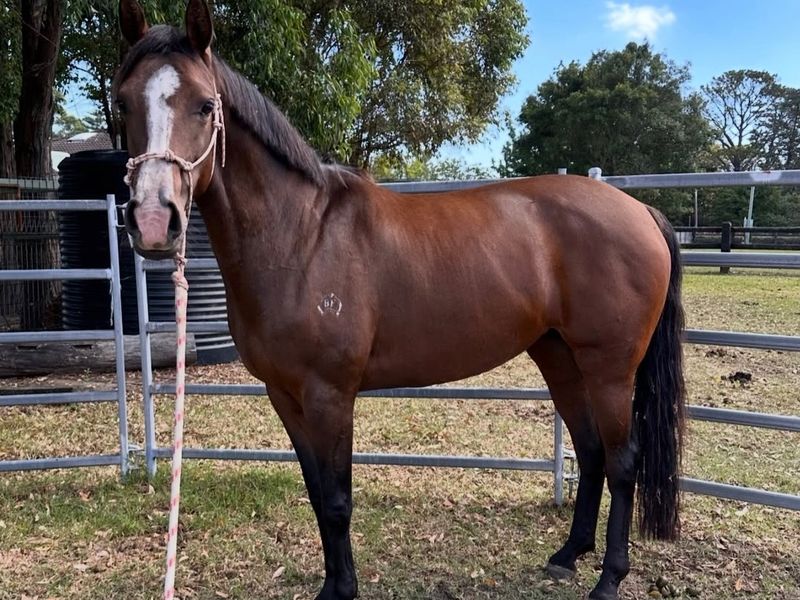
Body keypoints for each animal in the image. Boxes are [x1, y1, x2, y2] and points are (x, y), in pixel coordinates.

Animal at [115, 1, 685, 598]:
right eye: (121, 102)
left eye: (205, 106)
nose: (152, 220)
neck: (300, 236)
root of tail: (640, 210)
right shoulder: (284, 395)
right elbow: (317, 495)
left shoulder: (330, 395)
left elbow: (337, 500)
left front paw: (342, 589)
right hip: (559, 356)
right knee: (592, 450)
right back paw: (568, 554)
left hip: (610, 368)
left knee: (623, 462)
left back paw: (610, 577)